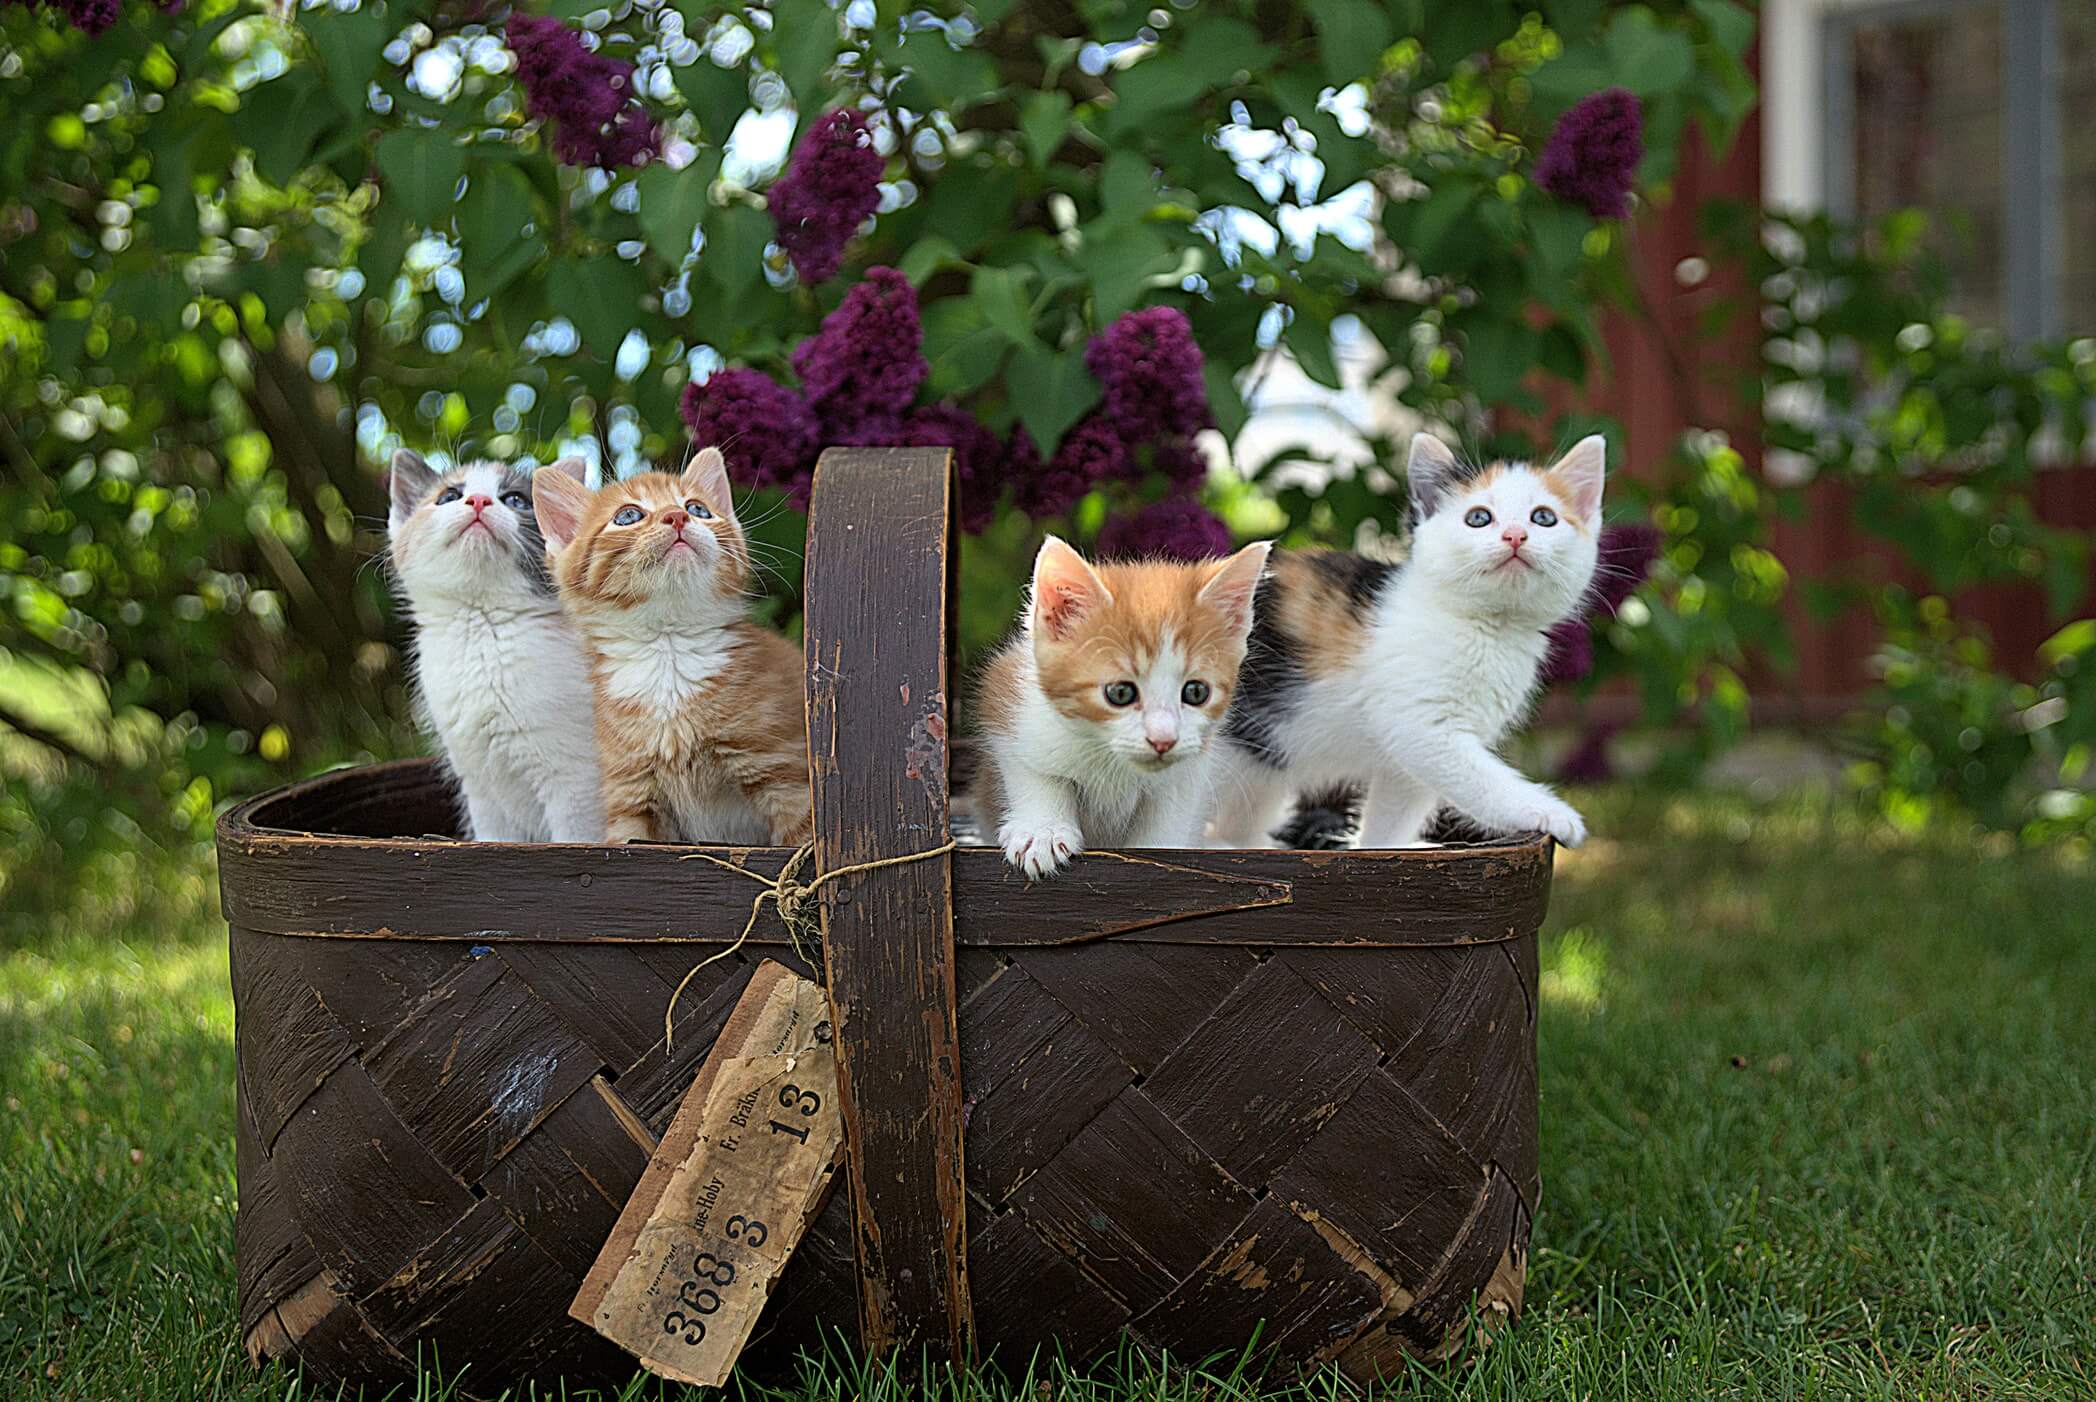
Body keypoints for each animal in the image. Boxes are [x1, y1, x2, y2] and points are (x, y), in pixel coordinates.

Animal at [387, 450, 607, 842]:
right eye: (448, 496)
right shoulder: (481, 789)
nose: (478, 500)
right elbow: (495, 840)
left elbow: (576, 839)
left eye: (515, 500)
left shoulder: (577, 782)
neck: (483, 628)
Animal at [532, 448, 809, 842]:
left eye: (698, 509)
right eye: (628, 516)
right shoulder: (631, 795)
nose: (677, 516)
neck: (668, 650)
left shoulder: (785, 776)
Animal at [972, 532, 1265, 875]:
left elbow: (1170, 814)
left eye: (1196, 692)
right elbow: (1033, 769)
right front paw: (1042, 831)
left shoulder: (1191, 768)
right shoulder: (1009, 698)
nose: (1163, 740)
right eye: (1120, 693)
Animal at [1215, 433, 1601, 855]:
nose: (1515, 535)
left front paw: (1380, 850)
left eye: (1544, 517)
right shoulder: (1422, 727)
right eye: (1478, 518)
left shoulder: (1408, 759)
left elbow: (1394, 813)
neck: (1487, 627)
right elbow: (1483, 780)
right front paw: (1549, 812)